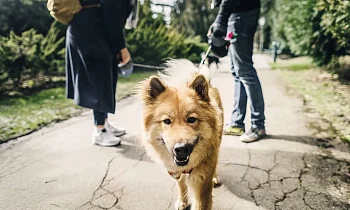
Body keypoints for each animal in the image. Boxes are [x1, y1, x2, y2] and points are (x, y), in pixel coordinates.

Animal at [138, 60, 223, 209]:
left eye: (191, 119)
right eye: (167, 121)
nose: (181, 148)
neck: (186, 168)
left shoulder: (202, 186)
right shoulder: (175, 172)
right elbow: (181, 185)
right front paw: (182, 201)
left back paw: (215, 177)